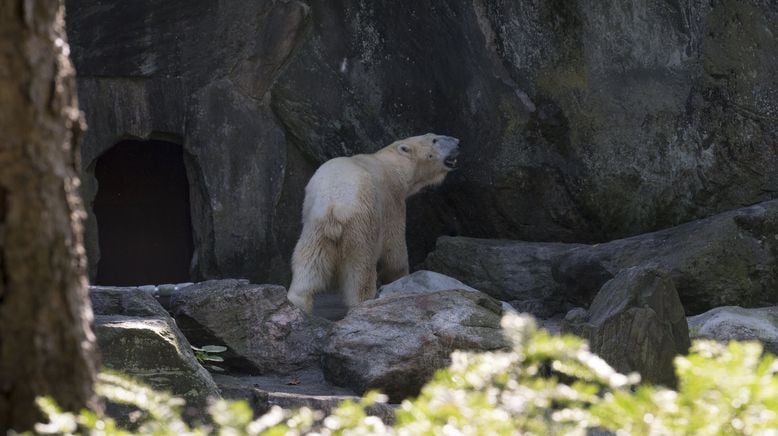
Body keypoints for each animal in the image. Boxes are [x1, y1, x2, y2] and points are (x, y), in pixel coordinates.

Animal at [286, 133, 458, 314]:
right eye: (434, 140)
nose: (458, 142)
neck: (390, 164)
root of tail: (335, 206)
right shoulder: (391, 202)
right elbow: (394, 251)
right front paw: (402, 277)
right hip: (360, 227)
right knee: (361, 271)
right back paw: (363, 302)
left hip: (315, 225)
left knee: (309, 263)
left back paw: (298, 302)